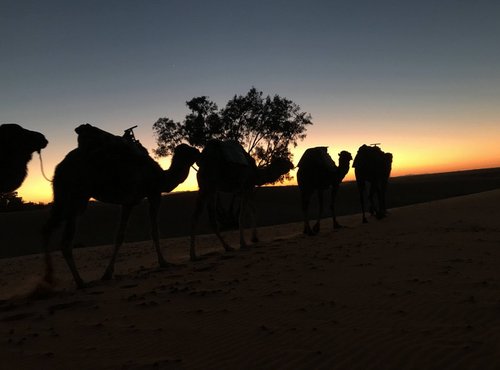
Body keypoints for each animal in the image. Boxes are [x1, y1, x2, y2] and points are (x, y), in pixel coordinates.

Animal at [42, 123, 199, 288]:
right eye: (189, 150)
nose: (199, 151)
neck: (162, 177)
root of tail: (59, 168)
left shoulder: (129, 202)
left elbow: (120, 236)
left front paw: (107, 273)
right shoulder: (153, 194)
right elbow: (154, 231)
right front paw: (163, 262)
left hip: (63, 197)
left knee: (47, 228)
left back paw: (48, 279)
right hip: (76, 198)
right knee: (65, 241)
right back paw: (79, 282)